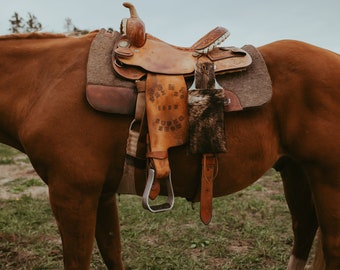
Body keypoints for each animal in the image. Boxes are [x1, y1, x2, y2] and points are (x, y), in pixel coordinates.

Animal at [0, 29, 340, 270]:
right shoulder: (100, 194)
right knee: (305, 229)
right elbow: (112, 253)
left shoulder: (72, 195)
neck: (44, 84)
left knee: (331, 245)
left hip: (327, 178)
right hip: (295, 170)